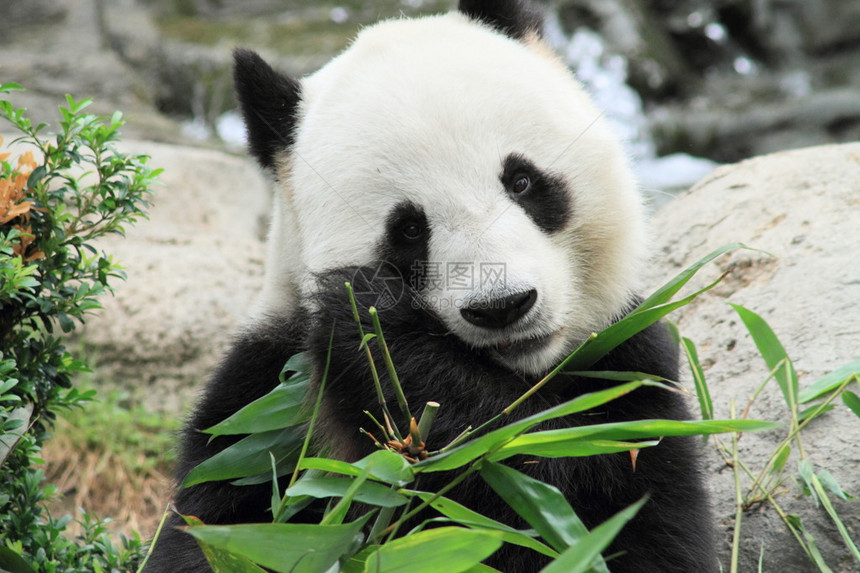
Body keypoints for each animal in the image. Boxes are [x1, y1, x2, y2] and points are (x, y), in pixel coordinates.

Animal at [144, 1, 716, 572]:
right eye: (409, 229)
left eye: (523, 181)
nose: (503, 306)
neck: (520, 377)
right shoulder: (255, 407)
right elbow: (225, 528)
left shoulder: (632, 372)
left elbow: (590, 510)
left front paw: (372, 328)